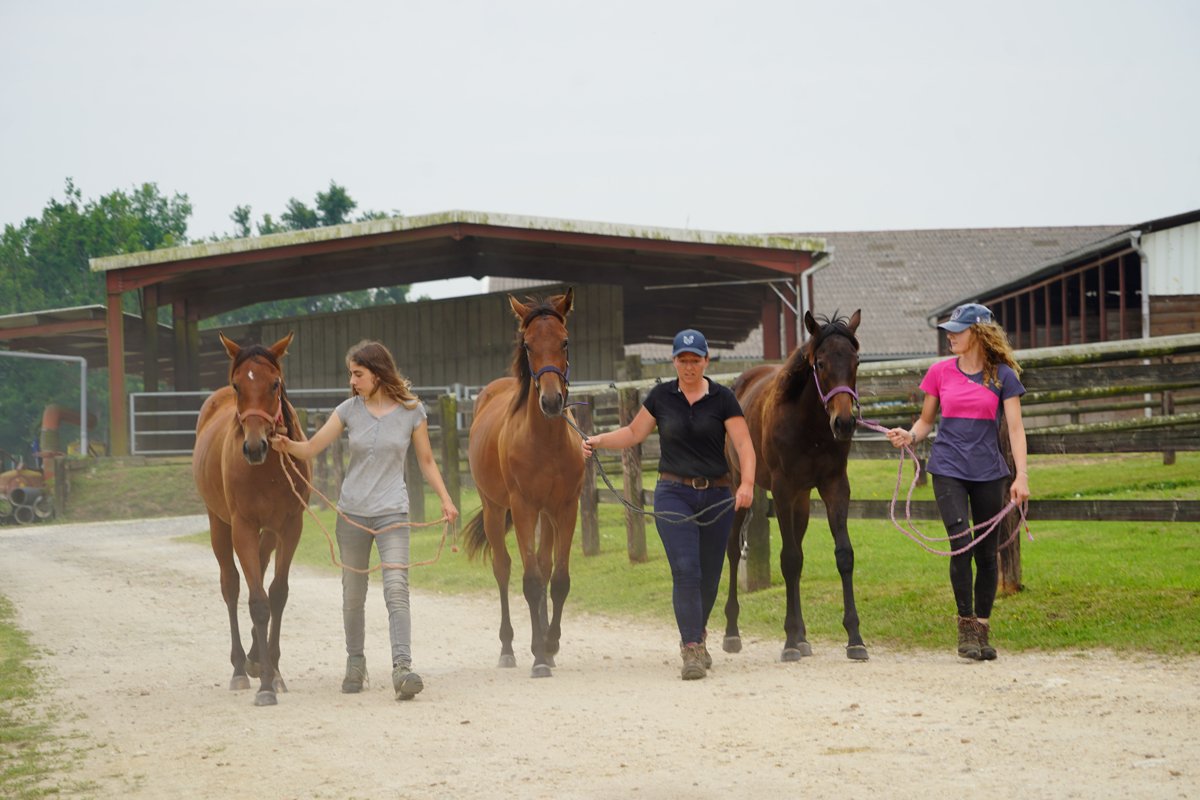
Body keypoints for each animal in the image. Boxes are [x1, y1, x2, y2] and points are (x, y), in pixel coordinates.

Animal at [192, 332, 311, 705]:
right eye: (237, 385)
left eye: (275, 384)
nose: (255, 447)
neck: (267, 470)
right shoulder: (242, 526)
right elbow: (257, 601)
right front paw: (265, 686)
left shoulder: (290, 527)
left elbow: (277, 594)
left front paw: (273, 671)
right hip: (219, 524)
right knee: (231, 585)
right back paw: (240, 668)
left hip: (269, 533)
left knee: (258, 568)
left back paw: (256, 659)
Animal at [462, 289, 584, 678]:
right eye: (528, 345)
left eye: (565, 341)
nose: (551, 401)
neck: (545, 442)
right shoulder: (523, 508)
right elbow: (530, 582)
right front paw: (540, 657)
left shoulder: (566, 508)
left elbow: (558, 580)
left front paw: (550, 644)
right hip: (495, 509)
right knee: (503, 568)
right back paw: (509, 649)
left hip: (546, 515)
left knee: (544, 568)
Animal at [723, 309, 869, 662]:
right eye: (821, 363)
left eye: (856, 361)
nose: (844, 423)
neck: (810, 427)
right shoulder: (782, 489)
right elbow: (788, 559)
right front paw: (789, 640)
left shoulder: (835, 486)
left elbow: (842, 555)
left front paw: (854, 638)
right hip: (740, 488)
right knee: (733, 549)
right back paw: (732, 632)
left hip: (801, 500)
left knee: (798, 554)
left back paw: (803, 637)